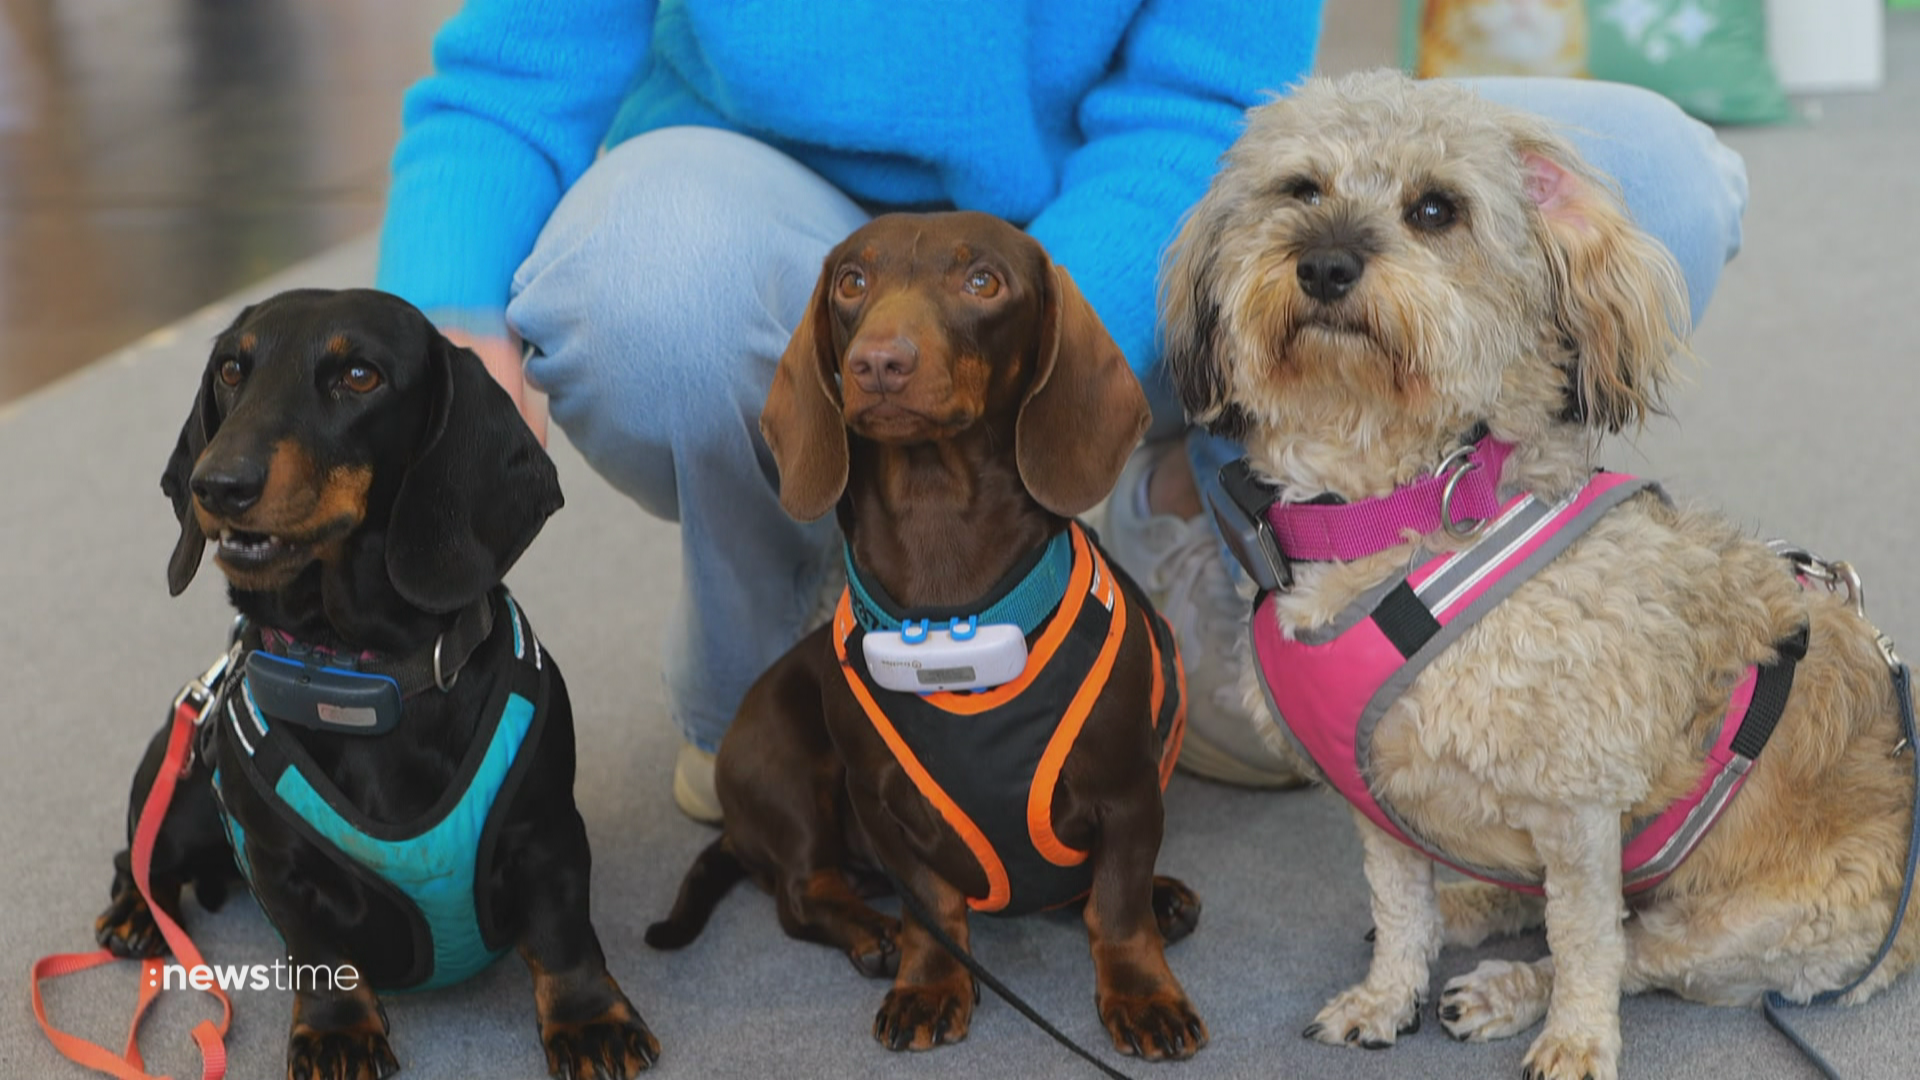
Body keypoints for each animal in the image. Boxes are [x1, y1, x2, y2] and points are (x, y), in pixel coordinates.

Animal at [1152, 69, 1920, 1076]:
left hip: (1757, 929)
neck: (1393, 505)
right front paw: (1386, 996)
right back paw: (1472, 907)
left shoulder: (1581, 807)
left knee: (1636, 946)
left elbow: (1588, 941)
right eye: (1300, 189)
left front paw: (1576, 1041)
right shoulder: (1376, 808)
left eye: (1435, 209)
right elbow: (1399, 905)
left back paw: (1510, 989)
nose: (1324, 265)